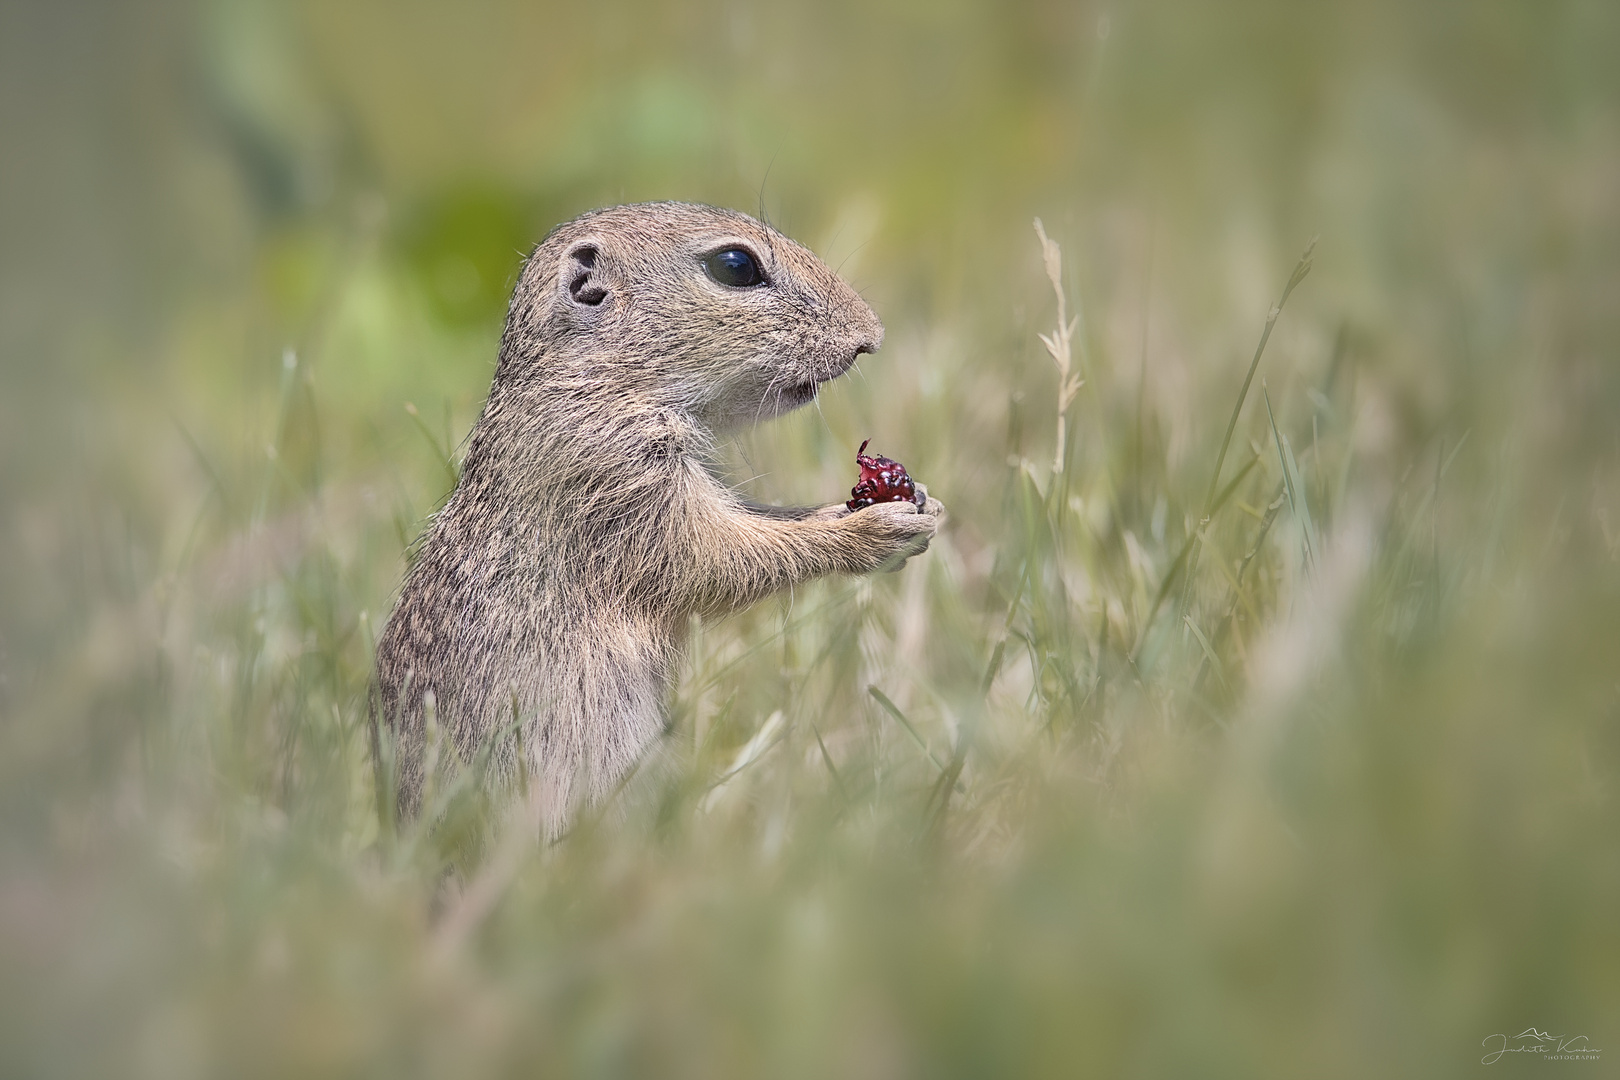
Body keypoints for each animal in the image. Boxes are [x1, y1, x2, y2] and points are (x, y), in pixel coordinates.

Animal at [372, 200, 946, 829]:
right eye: (735, 265)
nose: (871, 335)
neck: (602, 380)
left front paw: (913, 499)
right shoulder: (614, 479)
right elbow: (718, 559)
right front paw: (876, 529)